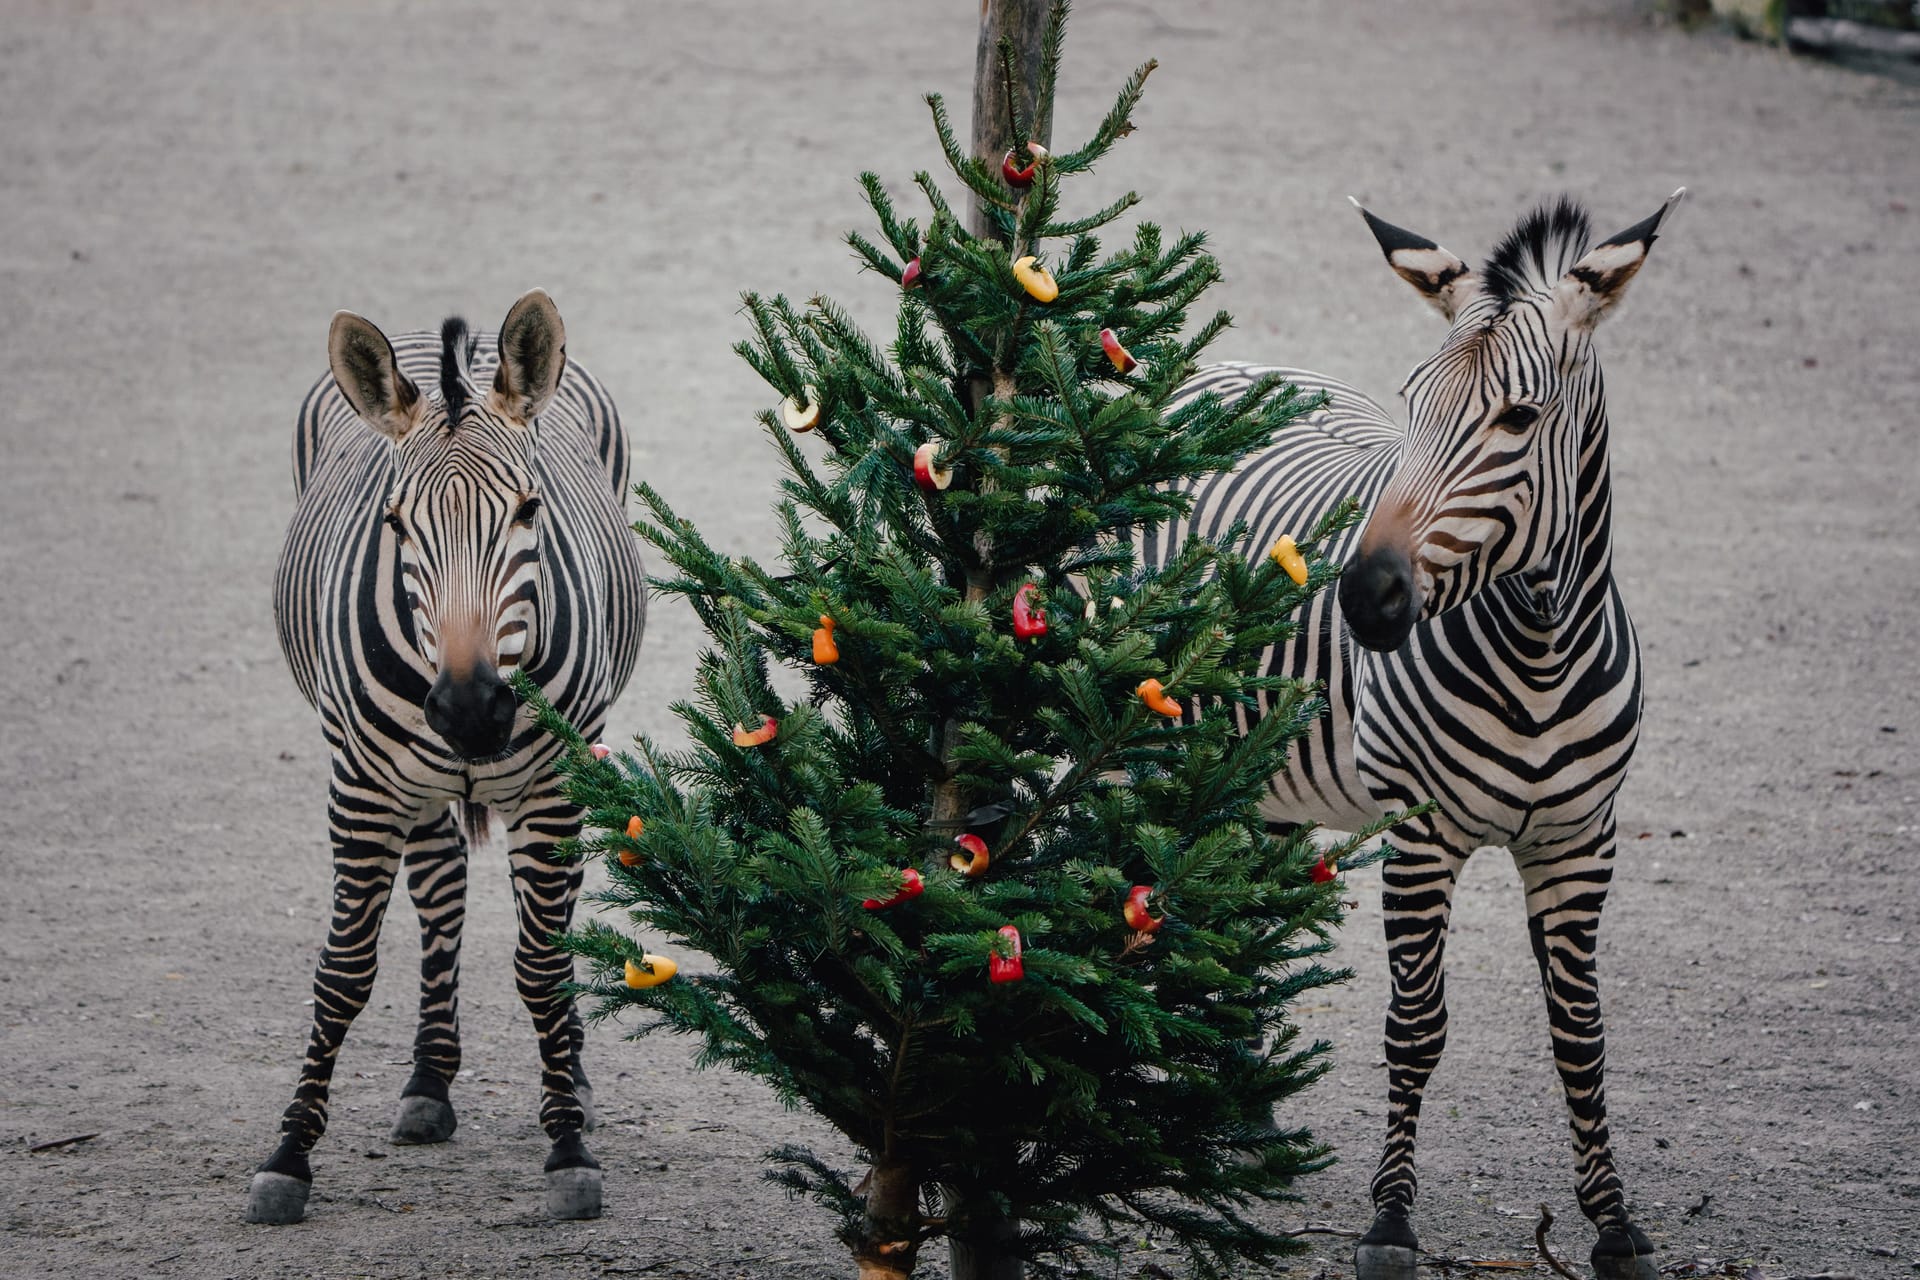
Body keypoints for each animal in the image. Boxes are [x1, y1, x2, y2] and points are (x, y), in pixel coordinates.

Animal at [249, 293, 645, 1228]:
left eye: (530, 510)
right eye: (395, 523)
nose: (470, 710)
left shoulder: (553, 788)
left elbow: (541, 964)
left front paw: (568, 1146)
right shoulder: (358, 788)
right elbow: (343, 972)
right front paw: (289, 1155)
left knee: (545, 920)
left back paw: (569, 1074)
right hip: (405, 781)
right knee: (440, 892)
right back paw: (429, 1078)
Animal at [1144, 189, 1689, 1280]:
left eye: (1519, 417)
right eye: (1410, 404)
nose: (1363, 596)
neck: (1539, 651)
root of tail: (1222, 364)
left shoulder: (1581, 841)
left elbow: (1581, 1033)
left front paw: (1614, 1224)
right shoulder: (1420, 835)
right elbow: (1416, 1026)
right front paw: (1390, 1221)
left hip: (1261, 768)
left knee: (1236, 910)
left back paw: (1247, 1114)